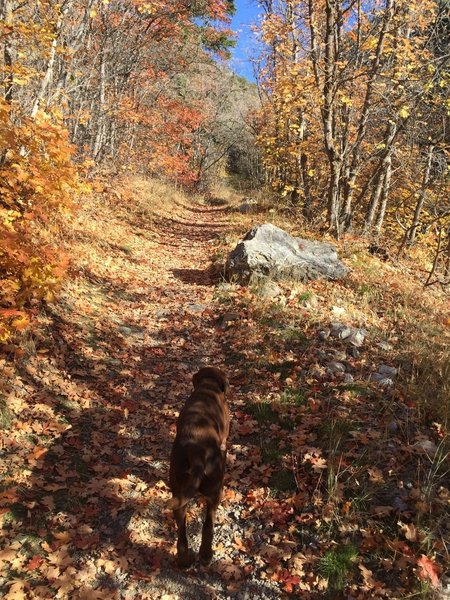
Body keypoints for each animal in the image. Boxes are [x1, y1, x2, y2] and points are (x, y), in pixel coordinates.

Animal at [170, 366, 230, 568]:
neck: (208, 387)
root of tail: (195, 451)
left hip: (178, 494)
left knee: (181, 533)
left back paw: (183, 561)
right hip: (215, 491)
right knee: (208, 525)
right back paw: (205, 555)